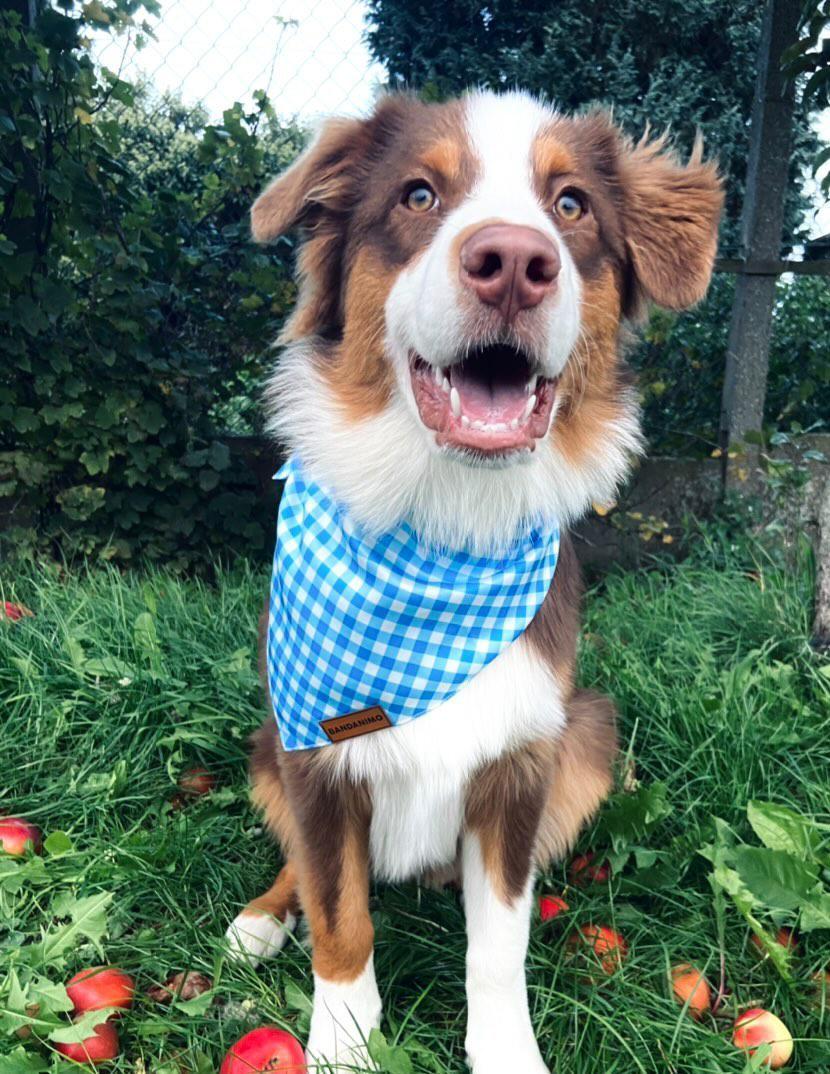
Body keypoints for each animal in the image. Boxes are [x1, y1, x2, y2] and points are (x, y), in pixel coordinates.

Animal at [223, 88, 721, 1069]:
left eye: (570, 206)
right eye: (418, 195)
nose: (516, 265)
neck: (446, 524)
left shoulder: (518, 763)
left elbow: (499, 942)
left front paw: (506, 1050)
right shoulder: (314, 759)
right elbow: (338, 911)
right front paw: (341, 1041)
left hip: (589, 735)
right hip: (269, 743)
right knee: (299, 865)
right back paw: (263, 917)